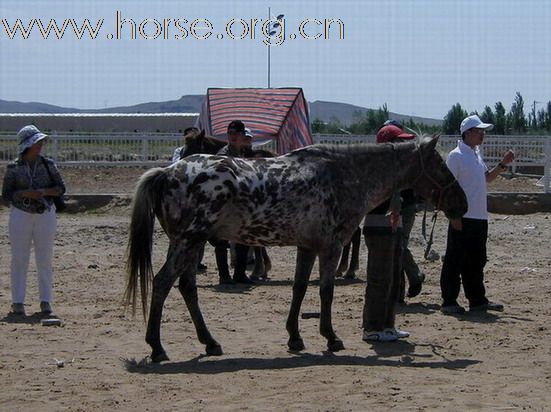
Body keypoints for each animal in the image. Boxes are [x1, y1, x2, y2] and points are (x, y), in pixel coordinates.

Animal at [125, 135, 466, 360]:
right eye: (440, 164)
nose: (461, 203)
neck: (343, 175)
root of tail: (168, 172)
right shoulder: (331, 247)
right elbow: (326, 291)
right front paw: (330, 337)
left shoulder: (307, 247)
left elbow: (299, 289)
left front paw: (295, 337)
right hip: (187, 243)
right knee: (162, 283)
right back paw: (157, 347)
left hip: (191, 245)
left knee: (186, 288)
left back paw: (209, 342)